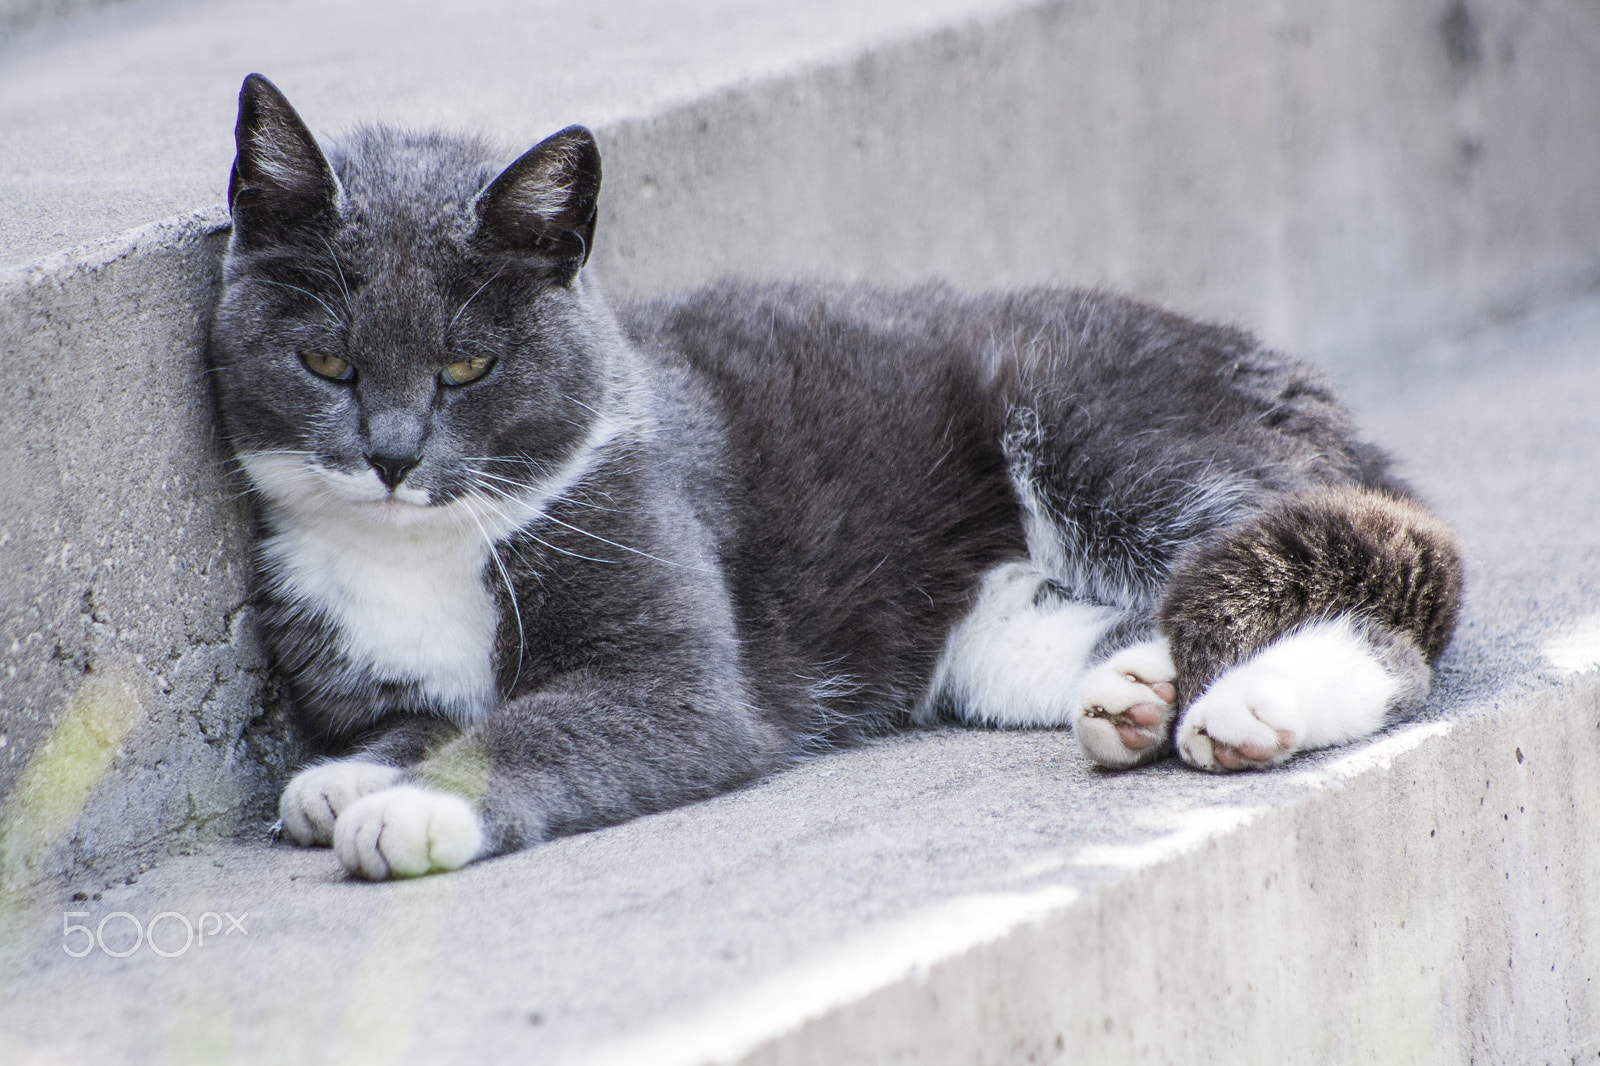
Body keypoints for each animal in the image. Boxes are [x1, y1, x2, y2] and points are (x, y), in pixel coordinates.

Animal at [209, 70, 1465, 877]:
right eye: (327, 360)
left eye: (468, 365)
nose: (391, 455)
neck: (415, 551)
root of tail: (1306, 388)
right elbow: (417, 720)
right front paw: (342, 778)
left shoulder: (673, 673)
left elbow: (536, 727)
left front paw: (409, 811)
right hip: (991, 635)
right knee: (1128, 624)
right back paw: (1141, 694)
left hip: (1101, 429)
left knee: (1387, 583)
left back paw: (1255, 708)